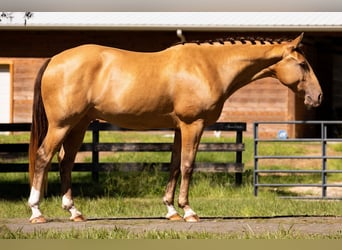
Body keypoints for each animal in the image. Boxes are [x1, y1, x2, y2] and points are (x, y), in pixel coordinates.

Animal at [28, 33, 322, 223]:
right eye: (303, 64)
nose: (317, 97)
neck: (209, 66)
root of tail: (54, 59)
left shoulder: (180, 128)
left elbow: (173, 165)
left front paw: (171, 210)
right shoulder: (194, 125)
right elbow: (188, 166)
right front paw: (188, 211)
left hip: (78, 126)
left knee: (65, 162)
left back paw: (74, 212)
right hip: (62, 125)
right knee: (44, 157)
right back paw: (36, 212)